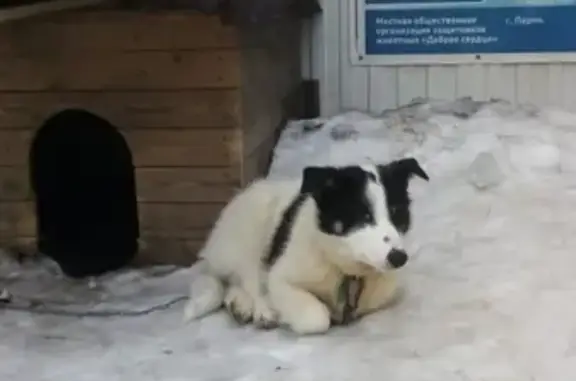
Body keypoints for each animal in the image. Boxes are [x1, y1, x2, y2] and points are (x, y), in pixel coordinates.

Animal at [183, 157, 428, 332]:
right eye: (363, 216)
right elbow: (316, 318)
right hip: (251, 234)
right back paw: (261, 310)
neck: (345, 272)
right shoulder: (280, 276)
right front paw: (276, 309)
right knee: (248, 278)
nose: (398, 258)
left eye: (397, 213)